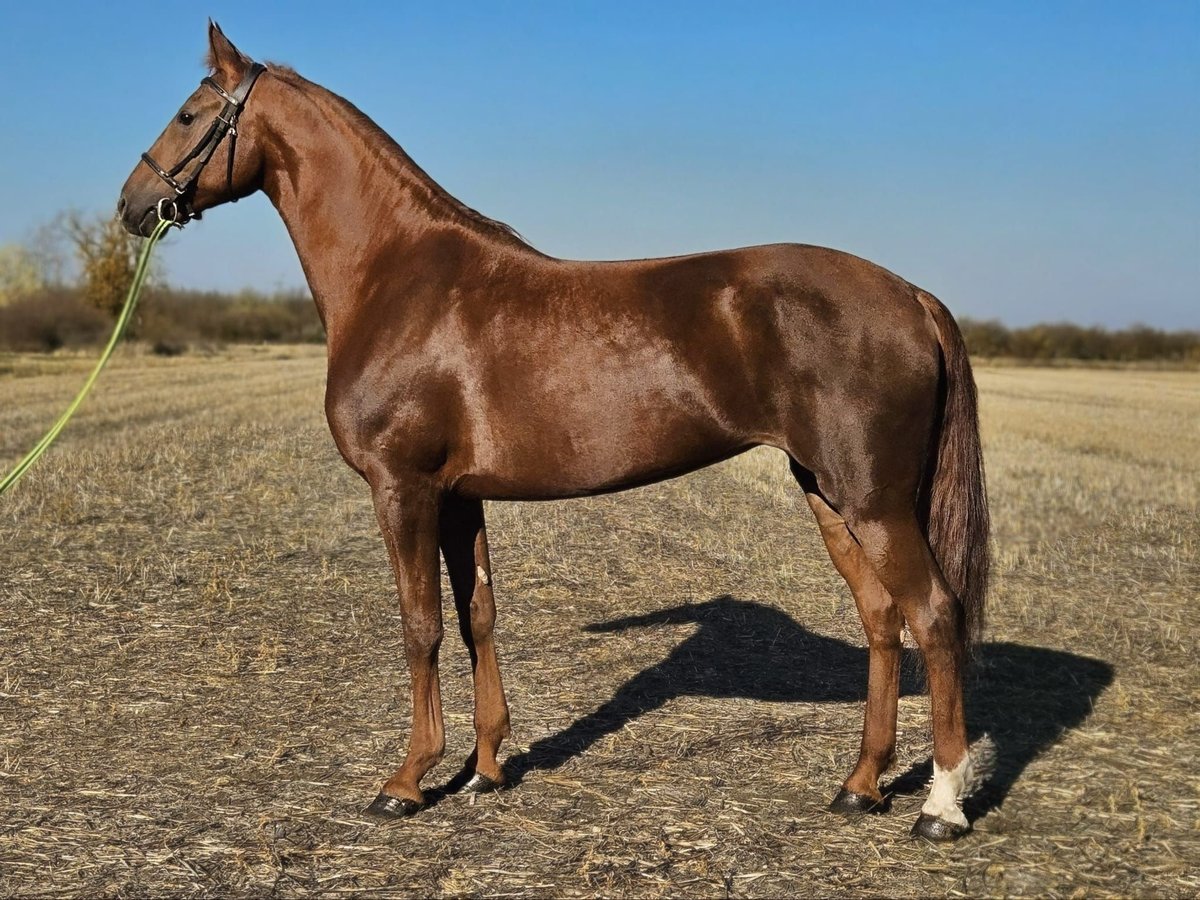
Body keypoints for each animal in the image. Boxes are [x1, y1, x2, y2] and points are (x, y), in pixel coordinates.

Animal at [118, 22, 990, 841]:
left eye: (189, 112)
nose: (131, 205)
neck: (398, 277)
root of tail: (911, 295)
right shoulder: (459, 497)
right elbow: (478, 617)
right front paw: (485, 768)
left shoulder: (403, 489)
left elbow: (420, 627)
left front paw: (407, 781)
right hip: (831, 497)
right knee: (881, 619)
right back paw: (860, 785)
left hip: (874, 502)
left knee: (934, 614)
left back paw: (941, 806)